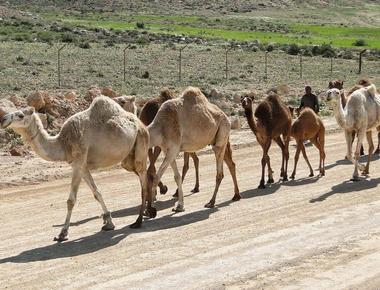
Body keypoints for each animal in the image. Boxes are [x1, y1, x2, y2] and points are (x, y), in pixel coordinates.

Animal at [0, 96, 156, 241]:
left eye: (20, 115)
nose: (3, 119)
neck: (63, 143)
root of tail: (141, 124)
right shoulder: (83, 166)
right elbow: (97, 193)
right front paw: (108, 223)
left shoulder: (78, 162)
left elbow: (71, 200)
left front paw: (62, 233)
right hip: (129, 157)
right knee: (144, 177)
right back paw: (150, 211)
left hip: (141, 145)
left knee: (143, 181)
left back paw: (139, 221)